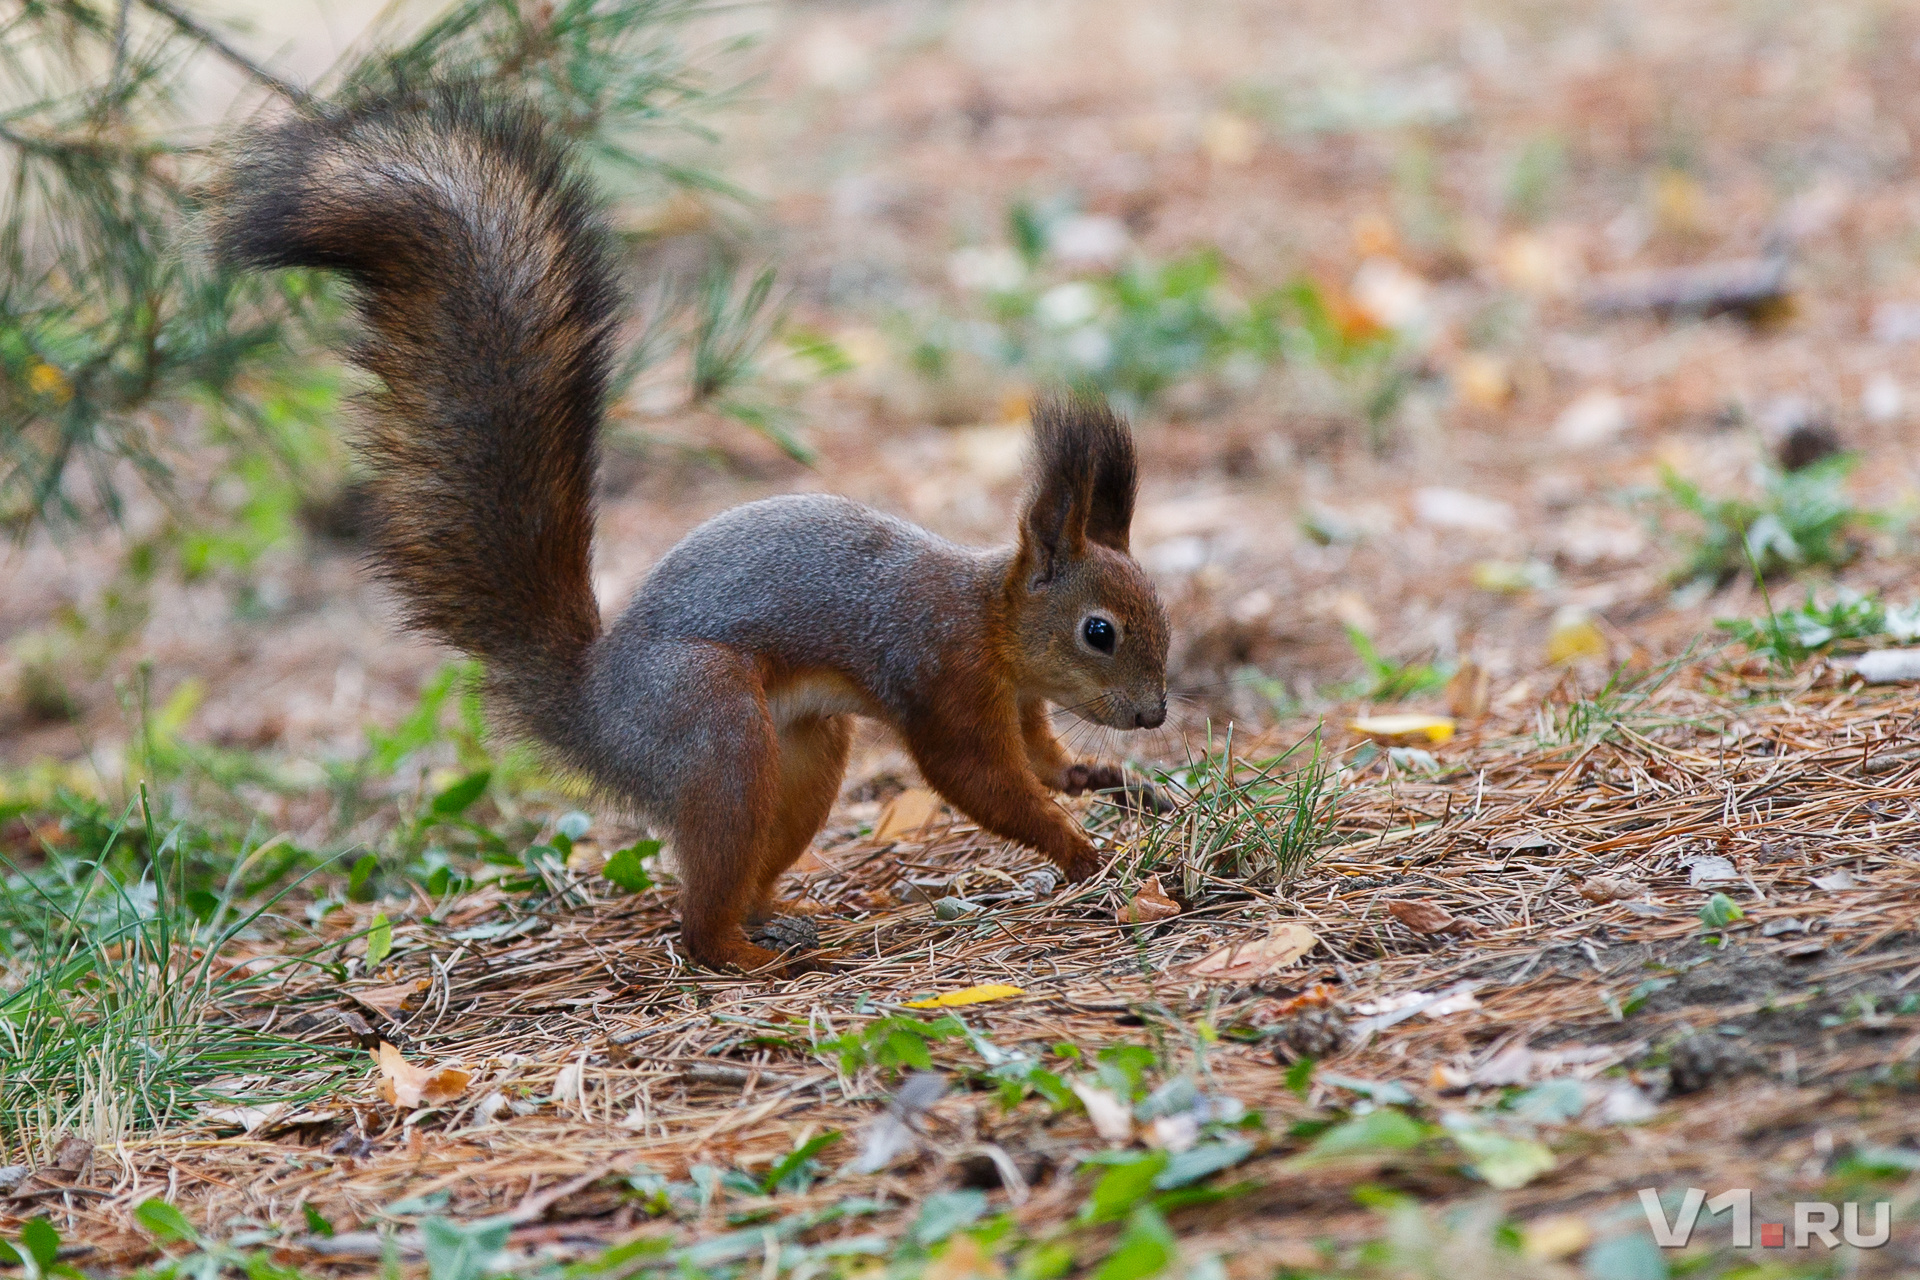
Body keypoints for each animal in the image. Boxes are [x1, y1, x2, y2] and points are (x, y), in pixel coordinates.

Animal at [210, 90, 1167, 971]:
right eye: (1100, 632)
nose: (1155, 715)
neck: (992, 621)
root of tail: (595, 708)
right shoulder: (943, 681)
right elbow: (977, 781)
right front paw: (1078, 849)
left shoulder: (1019, 699)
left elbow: (1037, 756)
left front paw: (1091, 778)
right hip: (714, 731)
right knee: (698, 918)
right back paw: (747, 954)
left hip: (803, 750)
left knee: (751, 865)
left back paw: (781, 913)